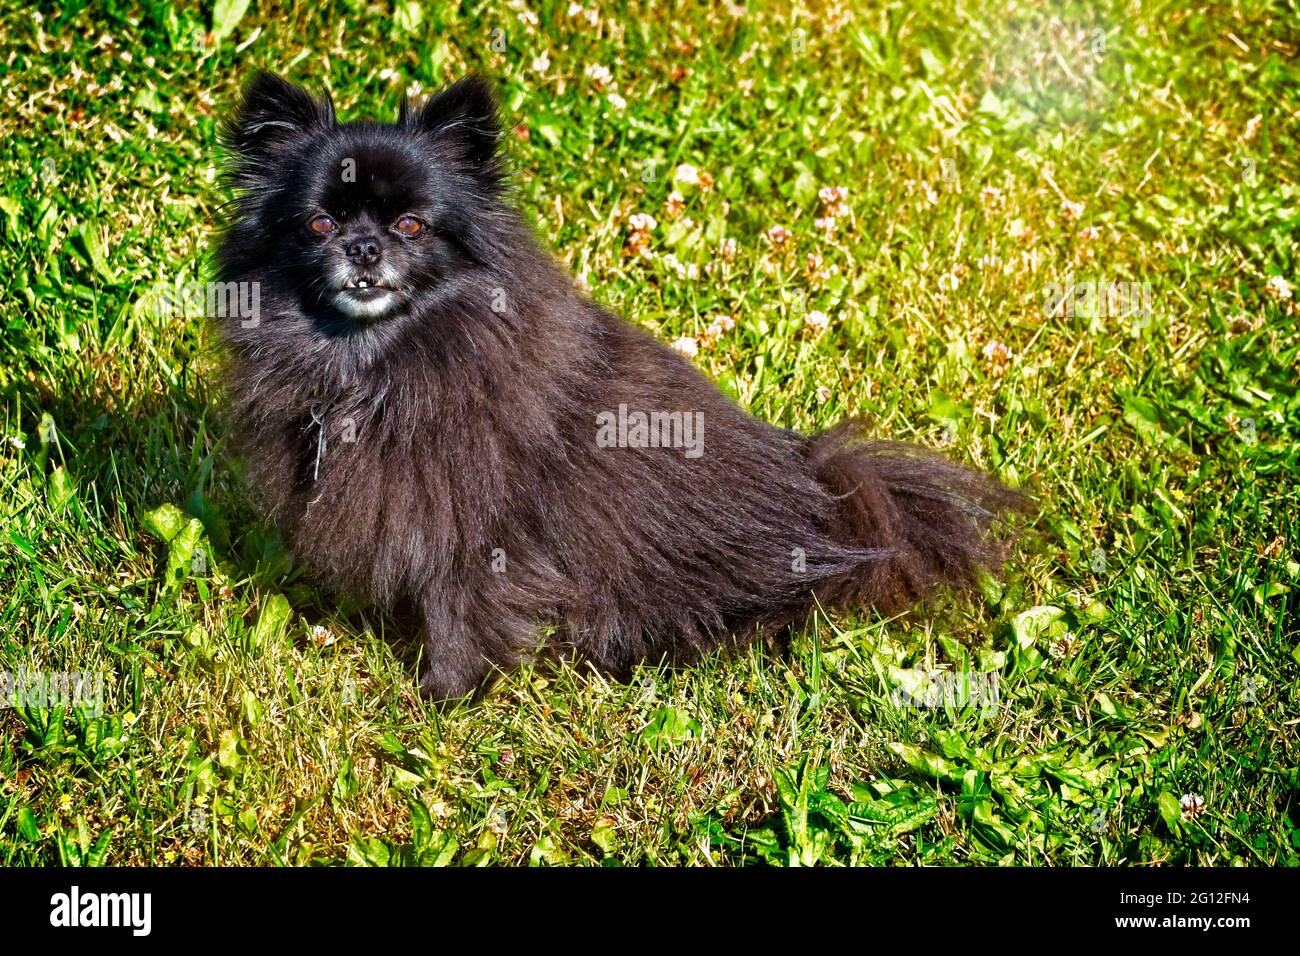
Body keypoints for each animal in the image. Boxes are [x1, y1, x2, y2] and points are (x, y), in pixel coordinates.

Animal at [215, 72, 1024, 702]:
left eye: (412, 225)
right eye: (320, 224)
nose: (362, 247)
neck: (380, 359)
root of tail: (825, 498)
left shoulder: (481, 528)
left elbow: (462, 607)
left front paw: (445, 696)